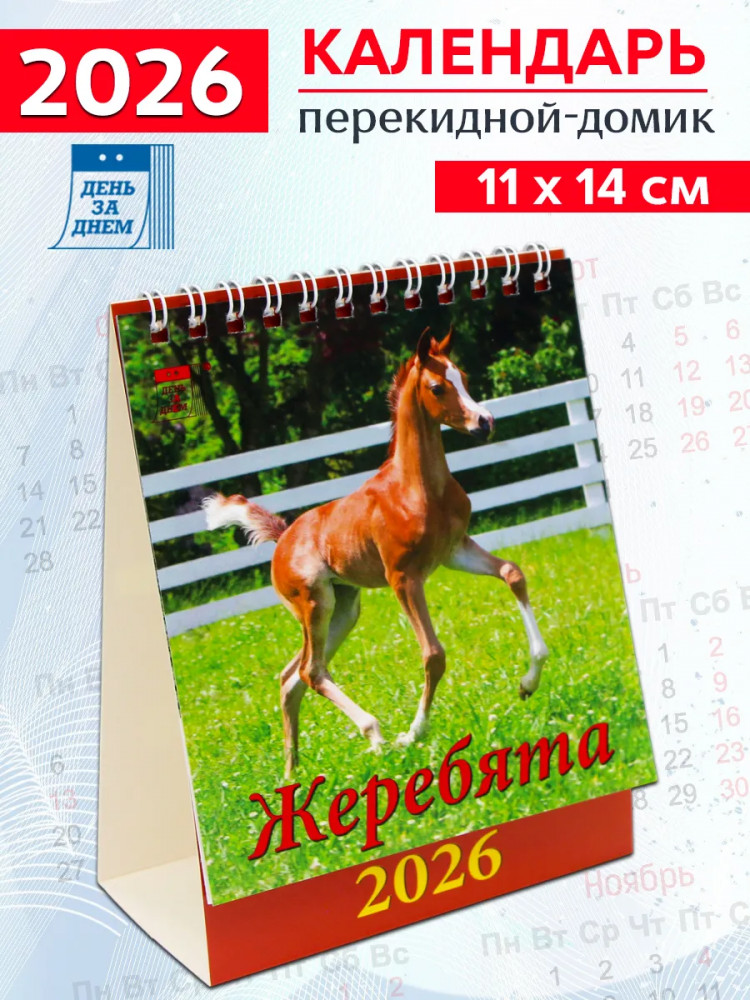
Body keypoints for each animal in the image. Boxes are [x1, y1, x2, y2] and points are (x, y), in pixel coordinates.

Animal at [204, 328, 549, 776]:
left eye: (464, 378)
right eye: (437, 387)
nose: (484, 422)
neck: (418, 488)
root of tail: (282, 538)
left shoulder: (455, 551)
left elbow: (512, 573)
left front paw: (529, 682)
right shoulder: (403, 578)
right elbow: (433, 654)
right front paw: (412, 734)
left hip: (344, 607)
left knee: (291, 677)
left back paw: (292, 772)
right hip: (315, 604)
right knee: (311, 671)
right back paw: (375, 734)